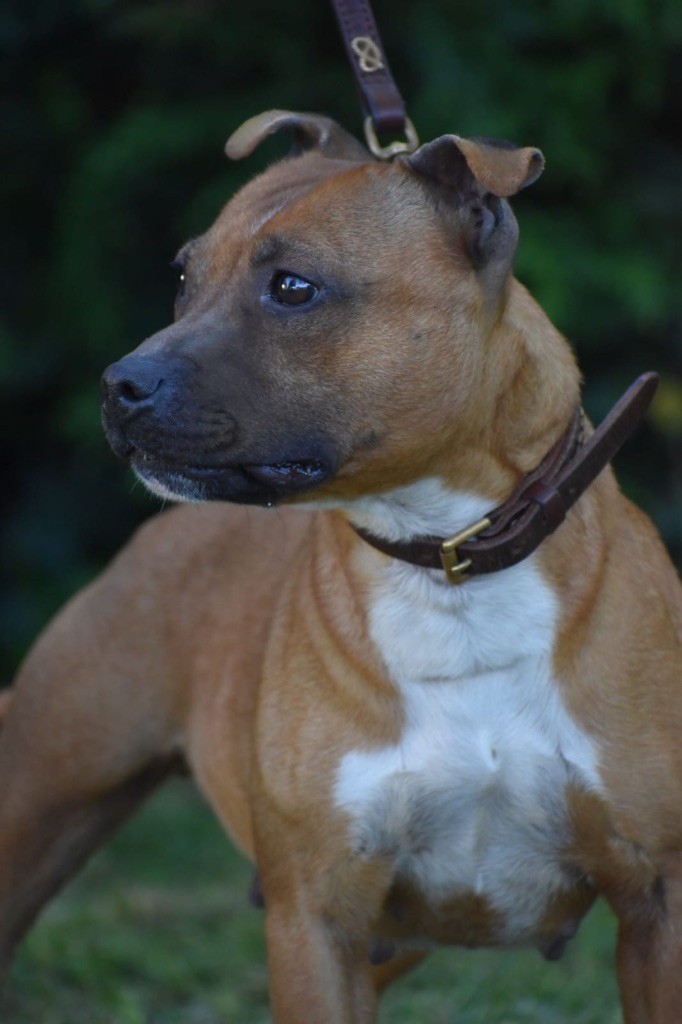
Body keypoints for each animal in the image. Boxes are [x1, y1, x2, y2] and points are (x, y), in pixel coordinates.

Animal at [1, 109, 680, 1023]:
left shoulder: (657, 906)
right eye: (182, 277)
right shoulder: (316, 920)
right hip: (37, 798)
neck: (449, 564)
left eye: (293, 288)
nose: (118, 385)